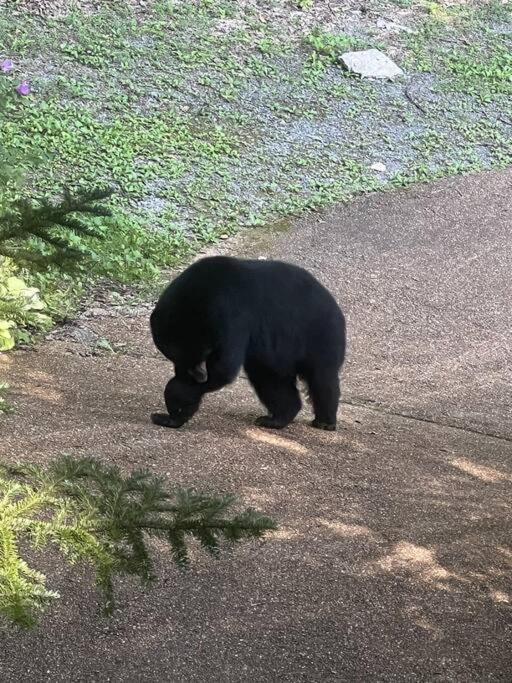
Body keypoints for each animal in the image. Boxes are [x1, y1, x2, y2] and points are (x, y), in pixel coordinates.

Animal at [150, 256, 346, 432]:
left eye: (198, 354)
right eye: (175, 358)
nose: (199, 374)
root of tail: (334, 304)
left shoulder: (230, 311)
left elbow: (225, 367)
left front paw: (177, 401)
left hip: (319, 334)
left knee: (322, 378)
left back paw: (324, 421)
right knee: (271, 380)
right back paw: (276, 418)